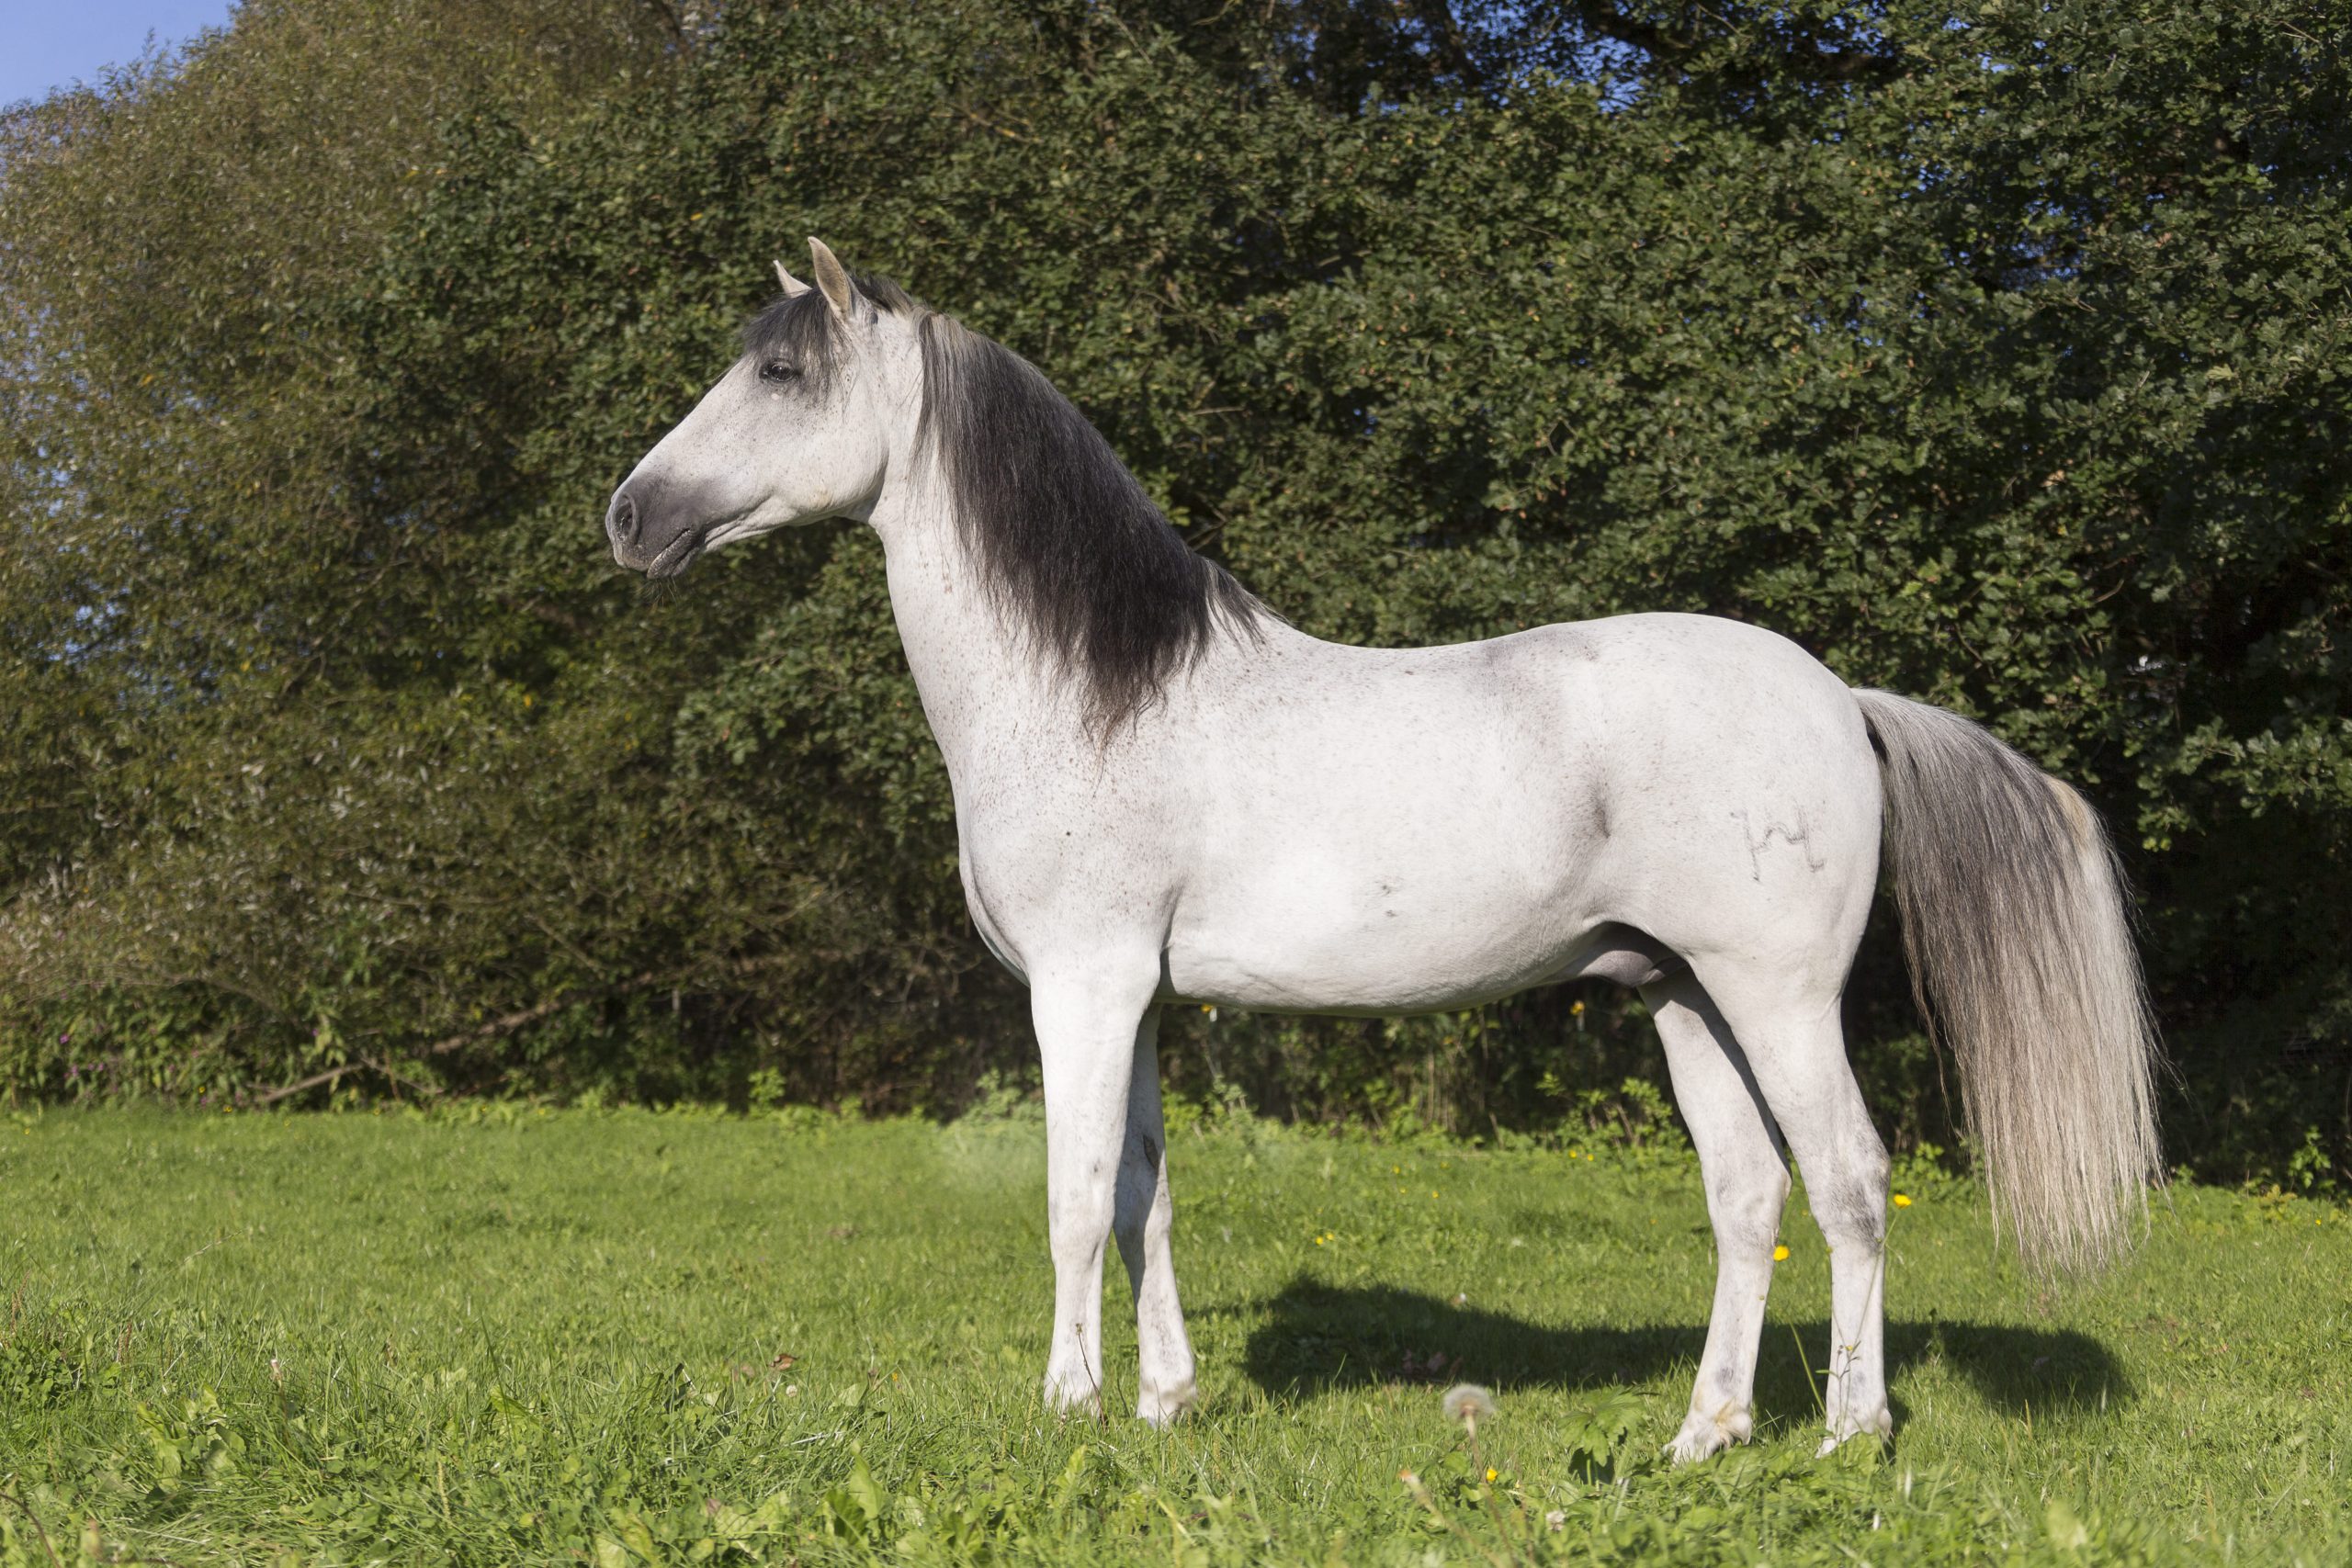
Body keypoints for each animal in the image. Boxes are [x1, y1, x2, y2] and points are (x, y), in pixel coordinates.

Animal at [611, 242, 2164, 1457]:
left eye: (783, 375)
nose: (629, 515)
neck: (1098, 693)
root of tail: (1843, 697)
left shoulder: (1084, 988)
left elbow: (1070, 1198)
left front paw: (1070, 1405)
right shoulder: (1146, 1000)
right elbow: (1143, 1196)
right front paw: (1168, 1401)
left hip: (1777, 996)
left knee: (1847, 1181)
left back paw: (1849, 1430)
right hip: (1685, 996)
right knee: (1748, 1196)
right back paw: (1704, 1433)